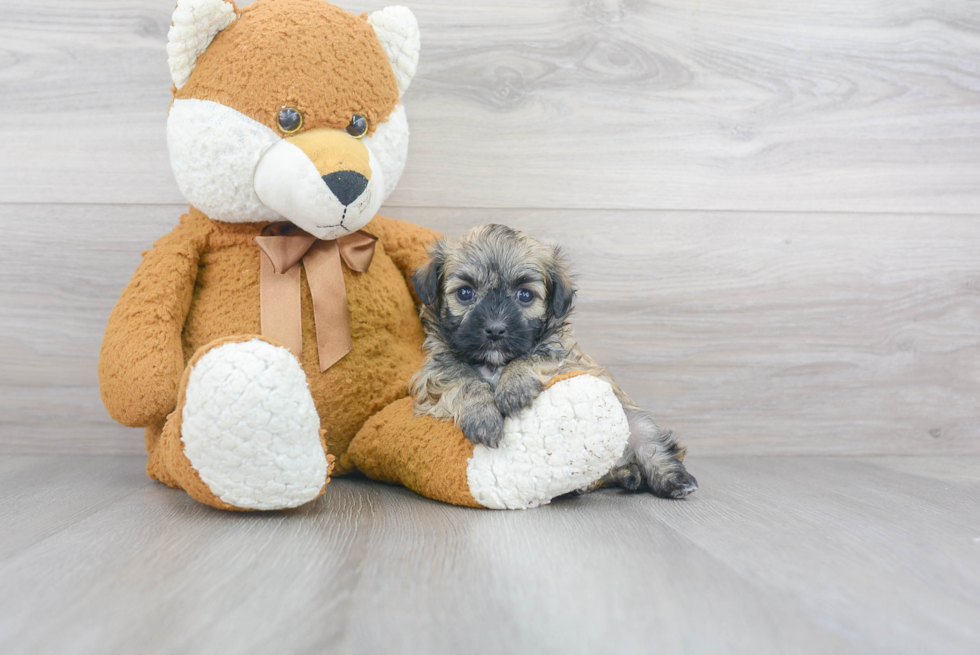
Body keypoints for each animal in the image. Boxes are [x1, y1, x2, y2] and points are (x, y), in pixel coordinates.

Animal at [410, 223, 700, 500]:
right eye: (465, 293)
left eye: (525, 295)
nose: (495, 329)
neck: (494, 363)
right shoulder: (435, 374)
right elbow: (464, 378)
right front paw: (482, 415)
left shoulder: (565, 360)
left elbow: (532, 356)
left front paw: (514, 387)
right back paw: (617, 478)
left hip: (637, 423)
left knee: (654, 448)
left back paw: (674, 481)